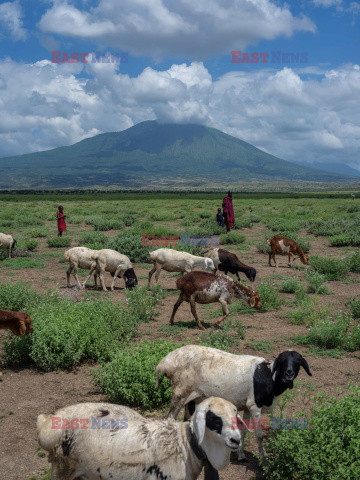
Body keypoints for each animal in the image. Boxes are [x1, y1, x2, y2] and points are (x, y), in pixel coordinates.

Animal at [37, 398, 242, 480]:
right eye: (214, 419)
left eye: (235, 414)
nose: (236, 440)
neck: (184, 447)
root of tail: (48, 420)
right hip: (62, 470)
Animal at [158, 344, 312, 462]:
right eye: (282, 359)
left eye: (298, 361)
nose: (289, 374)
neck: (270, 377)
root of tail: (165, 363)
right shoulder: (255, 406)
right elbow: (259, 435)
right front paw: (263, 460)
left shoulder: (247, 407)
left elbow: (243, 430)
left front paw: (241, 455)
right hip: (179, 393)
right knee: (169, 419)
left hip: (191, 397)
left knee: (187, 420)